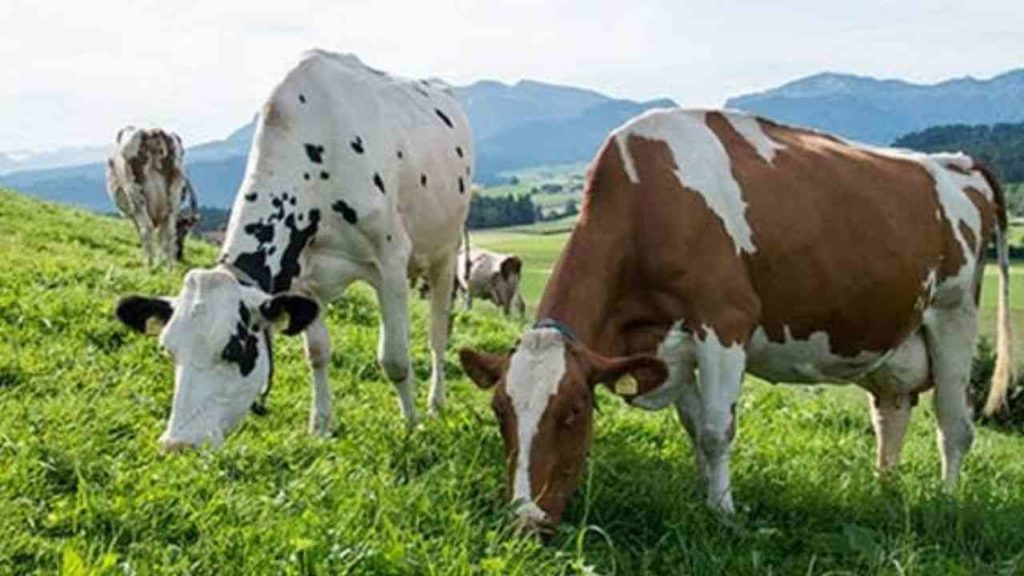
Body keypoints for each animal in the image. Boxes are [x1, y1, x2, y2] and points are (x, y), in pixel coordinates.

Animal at [107, 127, 192, 266]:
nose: (180, 255)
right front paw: (161, 261)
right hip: (174, 196)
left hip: (136, 195)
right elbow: (161, 235)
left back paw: (149, 264)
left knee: (146, 227)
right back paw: (169, 267)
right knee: (169, 232)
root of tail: (153, 132)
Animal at [459, 108, 1012, 530]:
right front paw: (701, 492)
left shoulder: (724, 322)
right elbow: (692, 425)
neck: (649, 202)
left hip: (955, 315)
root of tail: (958, 161)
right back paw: (885, 491)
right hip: (892, 336)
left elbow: (714, 429)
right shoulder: (670, 346)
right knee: (891, 413)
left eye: (573, 411)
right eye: (500, 412)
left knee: (954, 424)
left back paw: (947, 502)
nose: (525, 518)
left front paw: (723, 511)